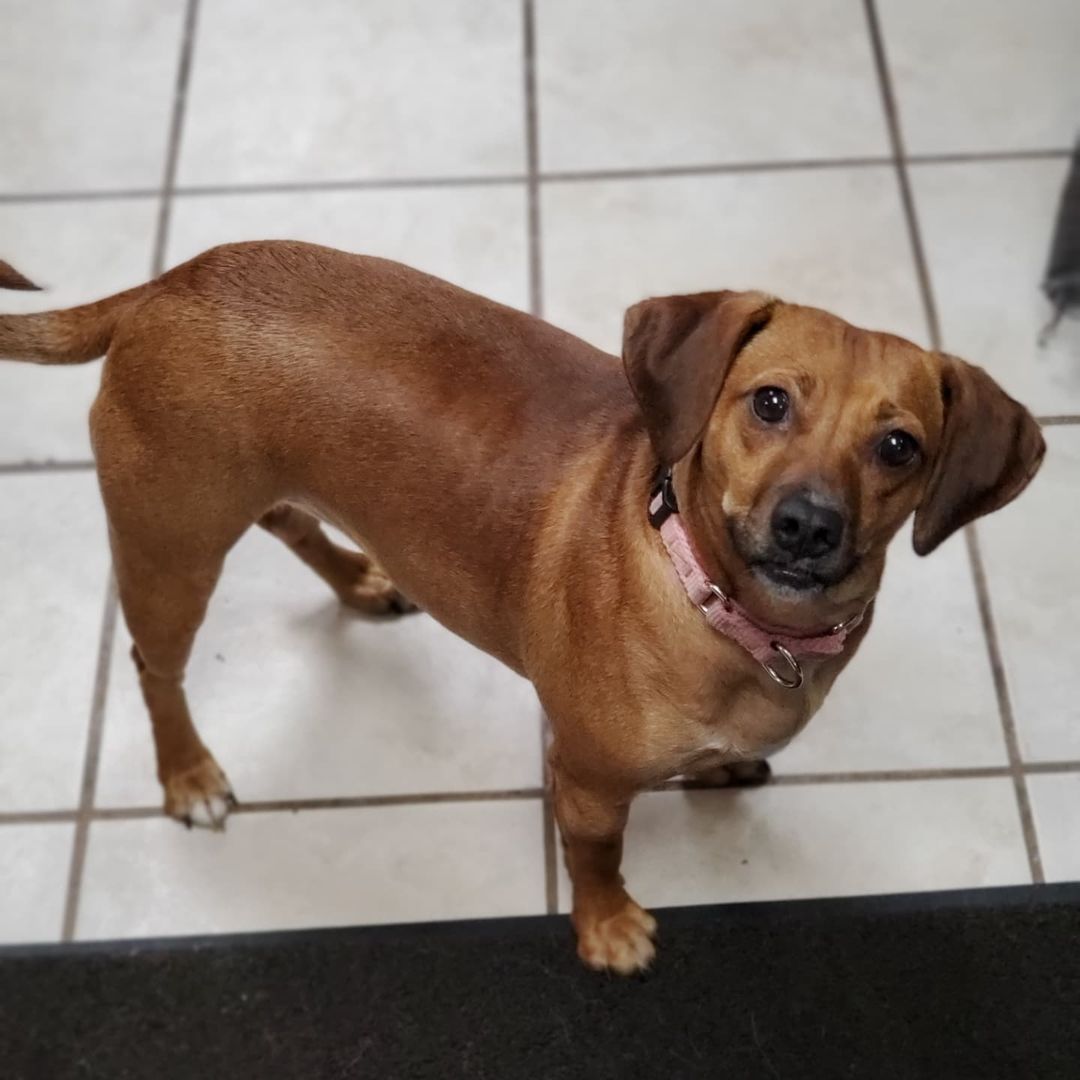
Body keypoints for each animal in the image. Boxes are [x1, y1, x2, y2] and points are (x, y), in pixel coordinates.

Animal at [0, 243, 1045, 972]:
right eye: (770, 402)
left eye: (900, 446)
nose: (808, 527)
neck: (725, 611)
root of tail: (163, 286)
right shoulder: (583, 780)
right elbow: (597, 857)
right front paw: (609, 929)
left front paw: (720, 768)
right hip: (171, 551)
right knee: (154, 666)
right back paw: (187, 774)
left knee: (293, 525)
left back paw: (357, 580)